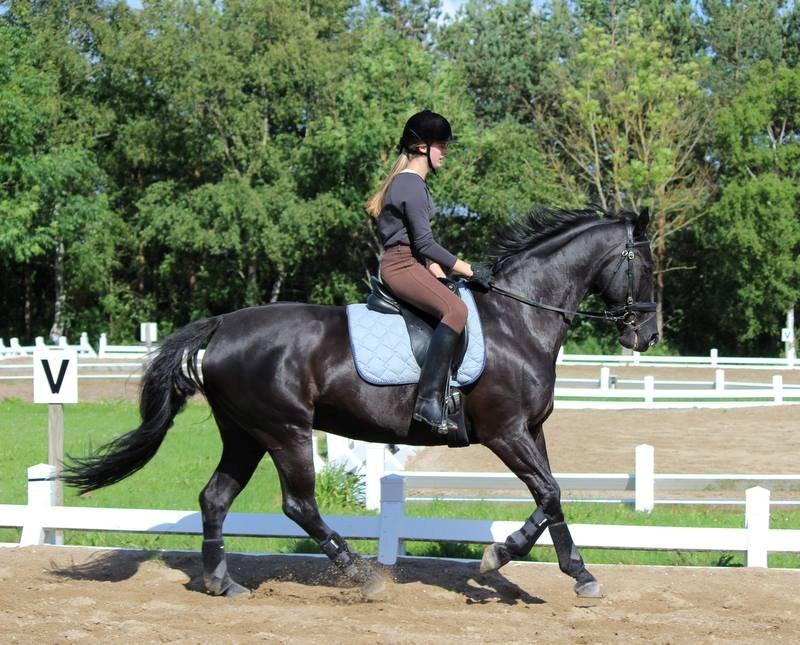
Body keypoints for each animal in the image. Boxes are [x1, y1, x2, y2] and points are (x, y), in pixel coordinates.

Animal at [62, 205, 660, 600]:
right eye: (648, 265)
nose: (647, 336)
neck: (518, 319)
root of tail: (223, 324)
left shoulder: (531, 431)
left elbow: (552, 498)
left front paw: (579, 574)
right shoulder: (505, 433)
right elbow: (550, 493)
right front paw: (499, 558)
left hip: (246, 435)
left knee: (215, 498)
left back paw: (221, 583)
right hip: (285, 431)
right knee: (298, 504)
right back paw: (362, 574)